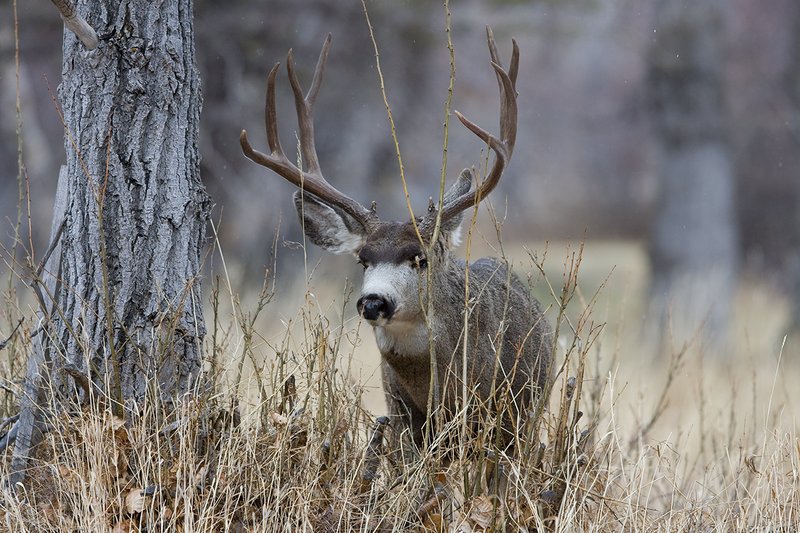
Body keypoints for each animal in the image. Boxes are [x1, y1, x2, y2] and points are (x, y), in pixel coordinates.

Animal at [240, 28, 553, 449]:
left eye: (420, 258)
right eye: (363, 259)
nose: (374, 301)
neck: (440, 389)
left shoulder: (500, 416)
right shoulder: (401, 415)